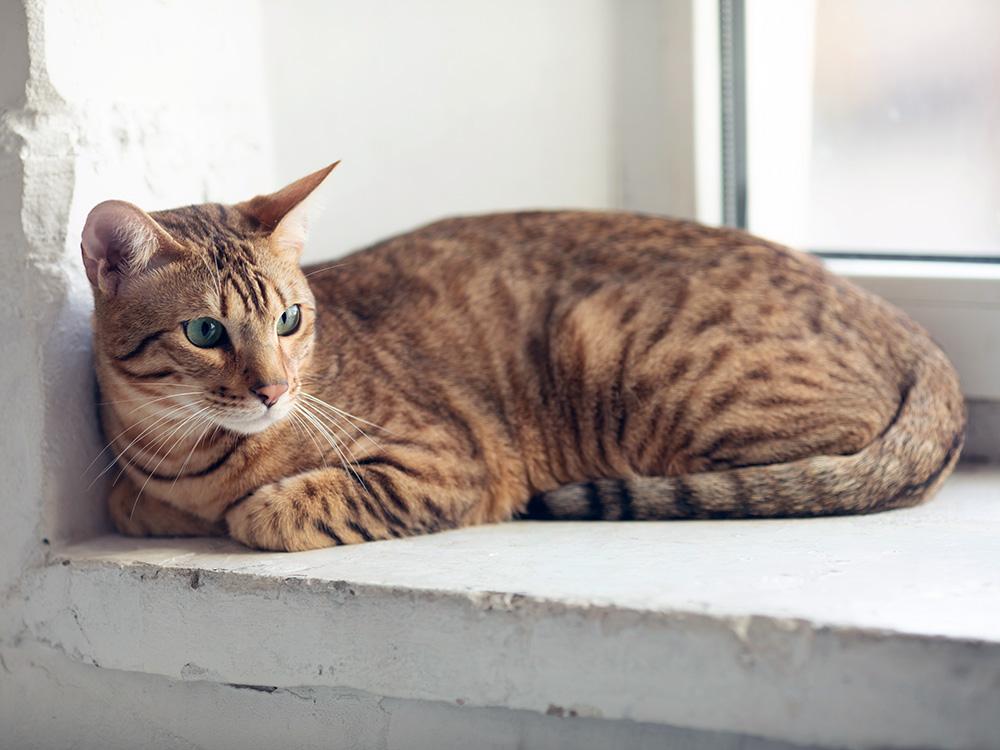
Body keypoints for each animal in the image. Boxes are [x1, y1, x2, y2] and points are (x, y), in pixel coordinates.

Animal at [82, 164, 964, 552]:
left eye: (291, 319)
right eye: (206, 333)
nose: (274, 389)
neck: (188, 455)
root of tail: (909, 329)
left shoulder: (447, 461)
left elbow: (273, 510)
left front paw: (247, 507)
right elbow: (131, 502)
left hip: (619, 343)